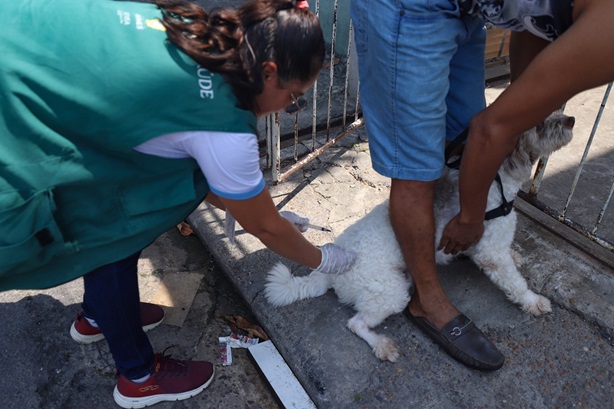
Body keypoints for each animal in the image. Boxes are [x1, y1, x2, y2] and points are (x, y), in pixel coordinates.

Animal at [266, 114, 576, 360]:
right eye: (539, 123)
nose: (571, 120)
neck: (497, 182)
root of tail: (326, 271)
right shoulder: (491, 254)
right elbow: (514, 282)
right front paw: (533, 301)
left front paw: (516, 257)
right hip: (392, 291)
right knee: (356, 324)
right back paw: (382, 345)